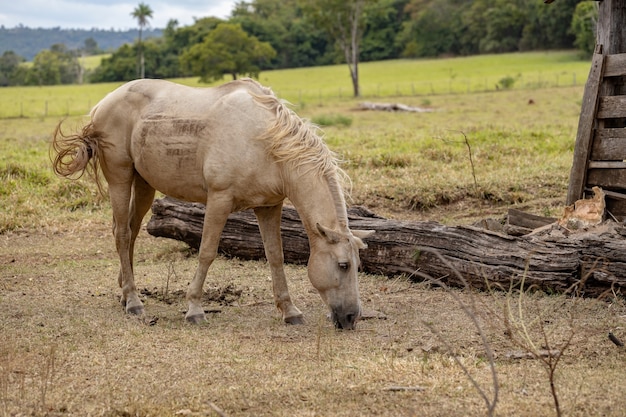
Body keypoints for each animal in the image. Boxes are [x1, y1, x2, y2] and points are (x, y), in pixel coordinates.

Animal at [51, 78, 370, 330]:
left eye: (357, 266)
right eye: (343, 265)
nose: (351, 318)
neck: (265, 142)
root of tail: (101, 106)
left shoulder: (269, 207)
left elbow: (275, 257)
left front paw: (289, 311)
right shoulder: (219, 199)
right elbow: (206, 253)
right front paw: (194, 309)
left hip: (143, 185)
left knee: (130, 232)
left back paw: (124, 293)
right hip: (120, 178)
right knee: (122, 233)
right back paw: (133, 301)